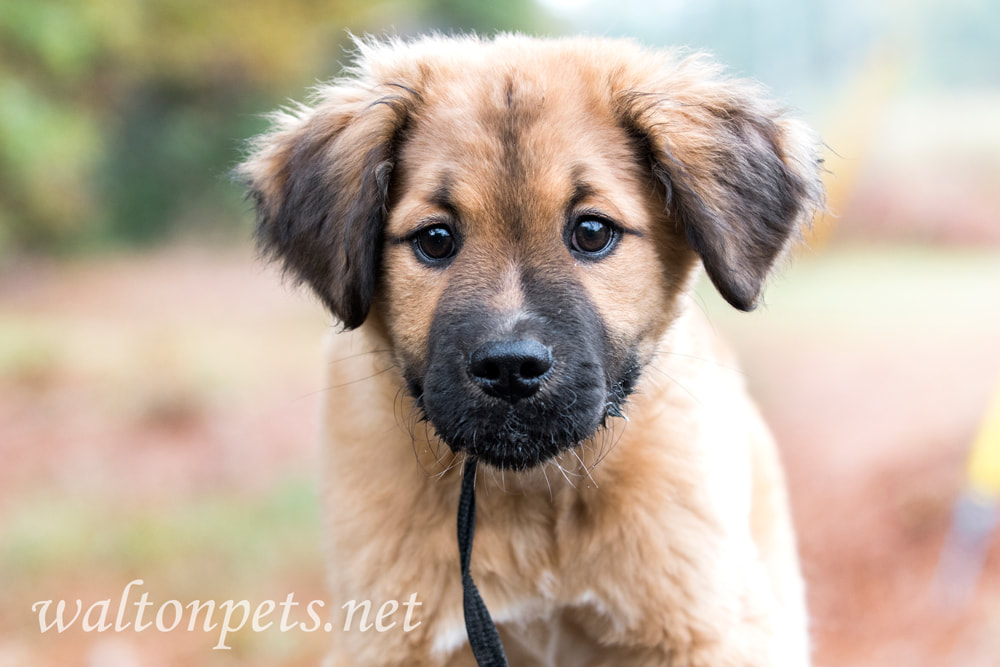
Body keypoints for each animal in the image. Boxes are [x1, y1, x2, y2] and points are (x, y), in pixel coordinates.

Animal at [240, 34, 820, 664]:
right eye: (435, 239)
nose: (510, 368)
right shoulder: (389, 638)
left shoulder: (708, 630)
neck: (531, 499)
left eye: (592, 232)